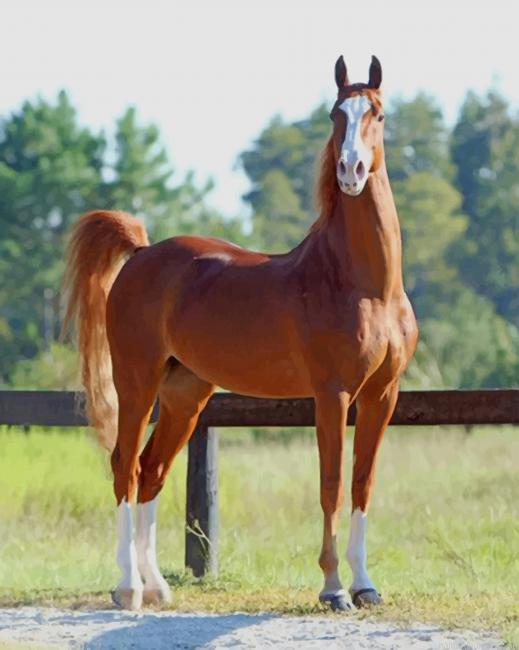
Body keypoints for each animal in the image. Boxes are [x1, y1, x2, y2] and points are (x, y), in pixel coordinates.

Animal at [63, 55, 418, 612]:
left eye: (377, 114)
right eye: (335, 114)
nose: (351, 171)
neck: (364, 284)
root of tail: (141, 253)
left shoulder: (383, 394)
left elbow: (362, 484)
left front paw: (365, 585)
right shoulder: (332, 394)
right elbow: (332, 484)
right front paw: (333, 587)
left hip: (186, 394)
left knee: (151, 469)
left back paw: (156, 585)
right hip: (137, 381)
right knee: (124, 465)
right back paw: (128, 587)